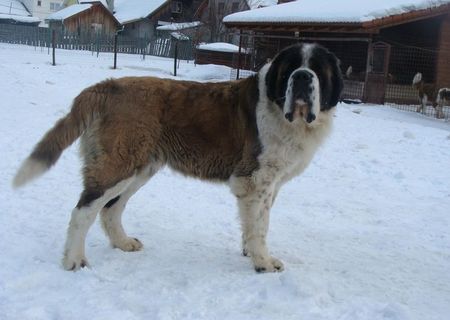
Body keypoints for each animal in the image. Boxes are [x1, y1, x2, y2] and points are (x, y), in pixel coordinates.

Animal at [14, 42, 344, 272]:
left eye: (317, 69)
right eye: (290, 68)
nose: (302, 76)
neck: (284, 113)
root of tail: (106, 86)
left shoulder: (269, 184)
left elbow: (256, 221)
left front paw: (249, 250)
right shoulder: (256, 179)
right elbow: (261, 225)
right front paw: (263, 262)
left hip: (140, 167)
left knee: (111, 209)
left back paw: (122, 243)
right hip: (117, 166)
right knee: (83, 211)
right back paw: (74, 260)